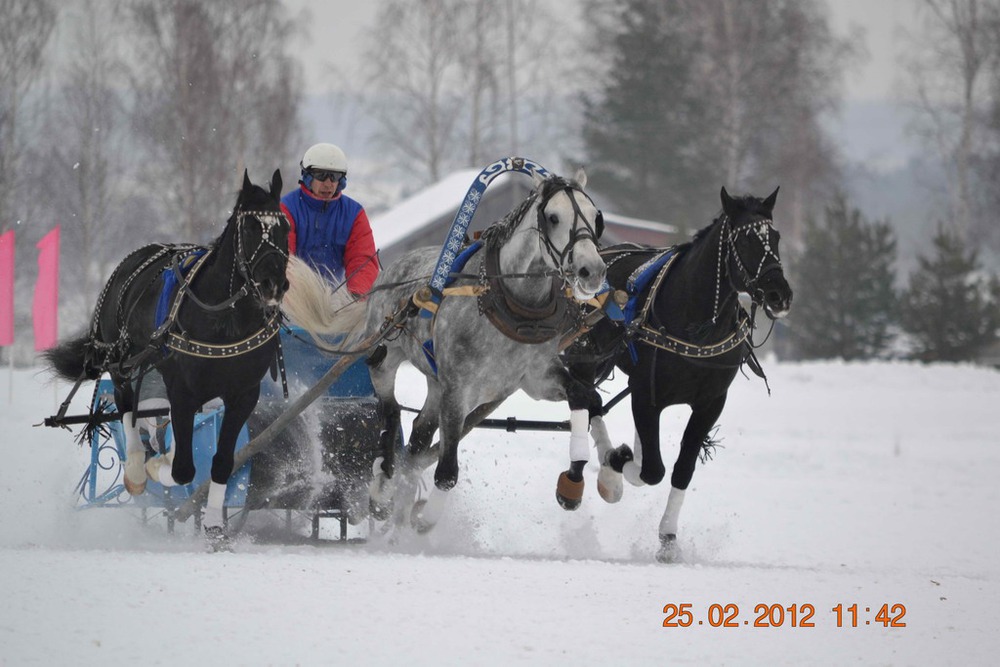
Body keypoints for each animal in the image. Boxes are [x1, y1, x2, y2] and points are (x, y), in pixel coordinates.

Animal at [46, 171, 294, 548]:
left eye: (284, 228)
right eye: (251, 228)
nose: (273, 284)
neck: (224, 319)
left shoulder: (243, 395)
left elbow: (222, 462)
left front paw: (214, 526)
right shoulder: (183, 392)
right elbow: (182, 469)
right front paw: (154, 468)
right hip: (123, 361)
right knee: (127, 405)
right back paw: (136, 466)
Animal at [568, 188, 792, 564]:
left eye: (775, 238)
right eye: (746, 239)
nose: (780, 294)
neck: (694, 322)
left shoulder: (710, 403)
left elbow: (681, 469)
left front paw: (669, 539)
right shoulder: (646, 393)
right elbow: (652, 470)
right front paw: (618, 462)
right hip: (586, 357)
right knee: (586, 401)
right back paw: (608, 474)